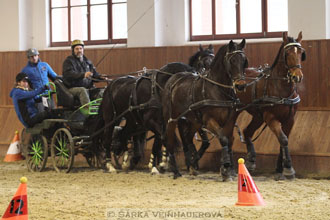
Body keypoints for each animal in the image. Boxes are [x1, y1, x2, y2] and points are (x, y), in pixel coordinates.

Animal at [162, 40, 248, 180]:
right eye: (232, 60)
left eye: (244, 61)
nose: (241, 85)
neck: (218, 89)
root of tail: (173, 79)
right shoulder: (209, 121)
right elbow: (223, 139)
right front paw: (225, 166)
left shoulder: (229, 121)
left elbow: (229, 141)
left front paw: (228, 170)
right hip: (172, 119)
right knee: (169, 141)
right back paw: (176, 171)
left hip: (194, 121)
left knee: (188, 137)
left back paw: (192, 164)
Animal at [237, 31, 304, 179]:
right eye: (287, 53)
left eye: (301, 53)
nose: (297, 76)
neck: (280, 88)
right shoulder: (271, 118)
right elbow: (283, 139)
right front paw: (288, 169)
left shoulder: (290, 119)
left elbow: (283, 140)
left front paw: (280, 167)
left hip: (258, 116)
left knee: (247, 131)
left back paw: (251, 160)